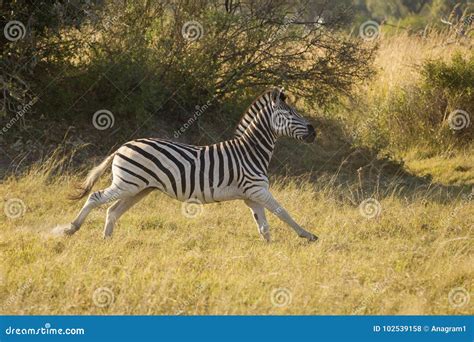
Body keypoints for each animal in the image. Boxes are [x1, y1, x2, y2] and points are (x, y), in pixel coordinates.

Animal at [65, 88, 318, 243]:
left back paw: (107, 240)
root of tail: (122, 146)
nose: (314, 131)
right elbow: (283, 212)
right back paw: (71, 228)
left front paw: (268, 250)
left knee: (112, 210)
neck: (251, 152)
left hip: (138, 188)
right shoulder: (257, 190)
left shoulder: (251, 196)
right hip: (127, 184)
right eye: (291, 113)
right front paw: (307, 235)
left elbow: (264, 226)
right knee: (95, 197)